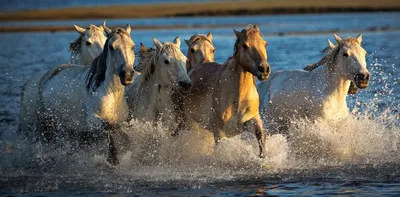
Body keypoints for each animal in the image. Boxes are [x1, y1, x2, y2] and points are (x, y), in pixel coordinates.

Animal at [19, 24, 136, 165]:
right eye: (112, 47)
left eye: (133, 46)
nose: (127, 74)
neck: (111, 93)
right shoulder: (92, 120)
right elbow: (108, 127)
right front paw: (113, 159)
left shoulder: (120, 121)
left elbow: (121, 131)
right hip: (42, 126)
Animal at [182, 24, 272, 158]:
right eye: (245, 45)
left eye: (265, 44)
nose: (264, 69)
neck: (237, 96)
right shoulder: (219, 132)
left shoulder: (250, 119)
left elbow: (261, 134)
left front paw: (262, 156)